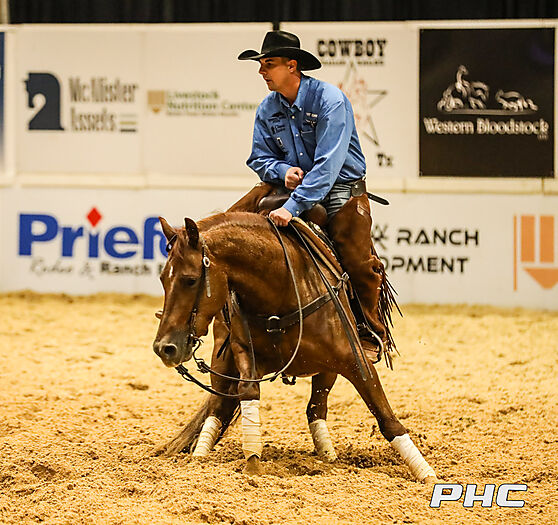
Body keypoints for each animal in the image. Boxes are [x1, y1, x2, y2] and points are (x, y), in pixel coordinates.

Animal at [152, 212, 437, 482]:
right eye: (162, 279)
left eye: (190, 279)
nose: (164, 347)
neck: (284, 289)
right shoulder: (244, 353)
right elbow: (248, 392)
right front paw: (253, 464)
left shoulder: (355, 361)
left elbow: (386, 417)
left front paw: (427, 474)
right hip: (222, 362)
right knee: (218, 409)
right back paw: (199, 458)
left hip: (328, 369)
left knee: (315, 408)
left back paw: (328, 456)